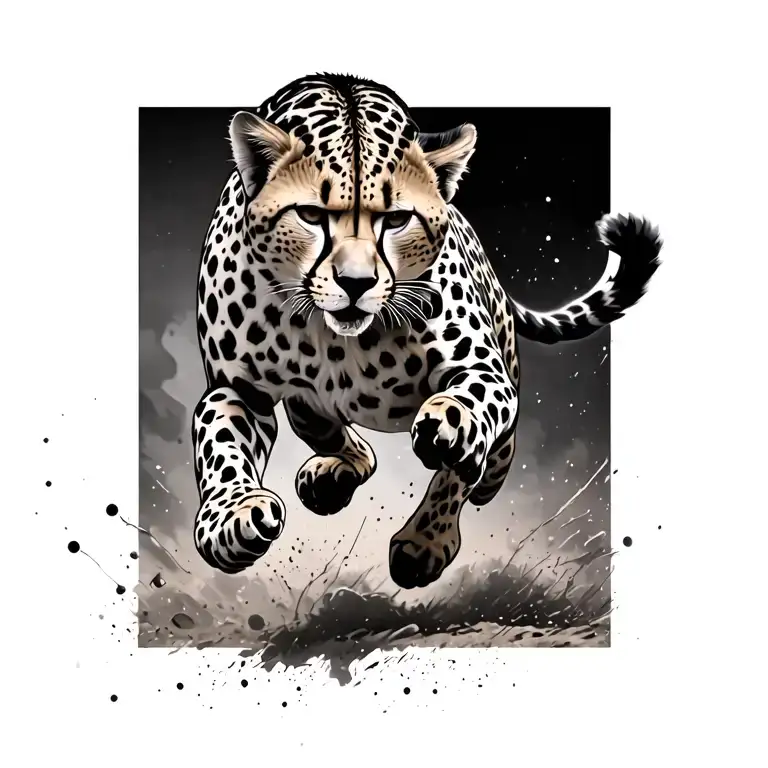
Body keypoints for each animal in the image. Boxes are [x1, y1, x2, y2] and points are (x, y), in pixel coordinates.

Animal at [191, 73, 662, 589]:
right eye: (311, 215)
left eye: (397, 219)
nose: (356, 283)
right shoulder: (238, 389)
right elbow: (218, 442)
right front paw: (232, 518)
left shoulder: (477, 365)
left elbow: (469, 415)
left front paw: (447, 447)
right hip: (309, 409)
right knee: (328, 427)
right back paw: (331, 470)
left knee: (491, 451)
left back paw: (440, 521)